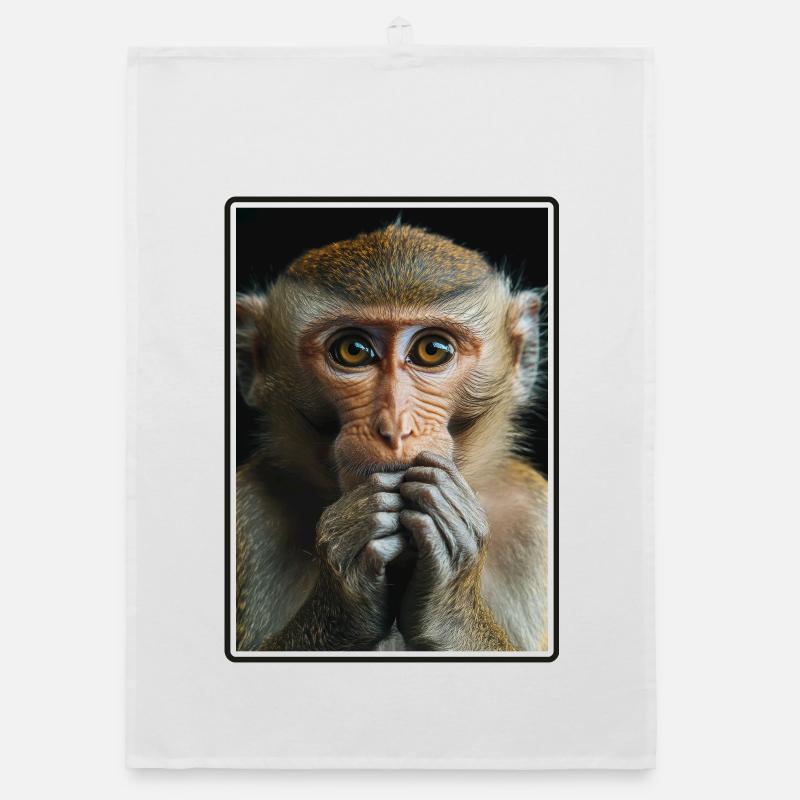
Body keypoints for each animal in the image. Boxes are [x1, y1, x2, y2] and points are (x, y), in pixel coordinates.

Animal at [235, 222, 548, 652]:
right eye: (353, 350)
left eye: (432, 350)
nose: (395, 427)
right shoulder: (249, 508)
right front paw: (346, 585)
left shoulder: (534, 518)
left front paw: (450, 602)